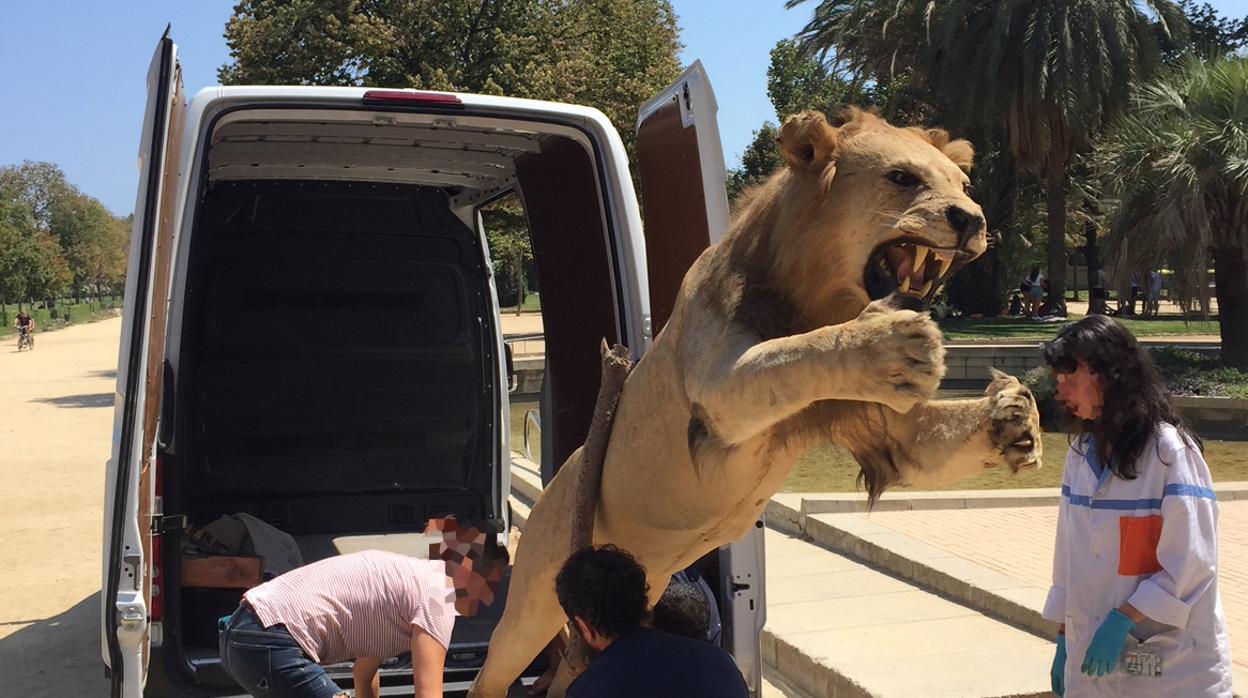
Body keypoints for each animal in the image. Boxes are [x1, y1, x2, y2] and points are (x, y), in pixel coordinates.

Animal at [464, 106, 1038, 694]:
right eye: (902, 178)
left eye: (964, 186)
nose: (971, 220)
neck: (819, 298)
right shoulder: (716, 392)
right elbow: (793, 352)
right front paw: (887, 343)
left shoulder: (880, 427)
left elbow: (931, 440)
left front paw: (1014, 419)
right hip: (534, 594)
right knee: (496, 666)